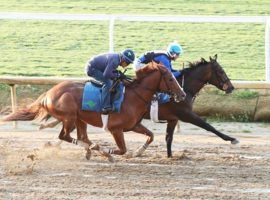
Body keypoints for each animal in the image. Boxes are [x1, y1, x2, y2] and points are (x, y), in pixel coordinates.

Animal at [1, 63, 186, 162]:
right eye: (171, 79)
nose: (182, 94)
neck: (134, 96)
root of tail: (48, 93)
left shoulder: (133, 125)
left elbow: (151, 136)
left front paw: (138, 152)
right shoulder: (115, 129)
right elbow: (122, 149)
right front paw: (107, 152)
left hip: (79, 119)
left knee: (81, 137)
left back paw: (90, 150)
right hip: (69, 117)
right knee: (65, 136)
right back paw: (92, 149)